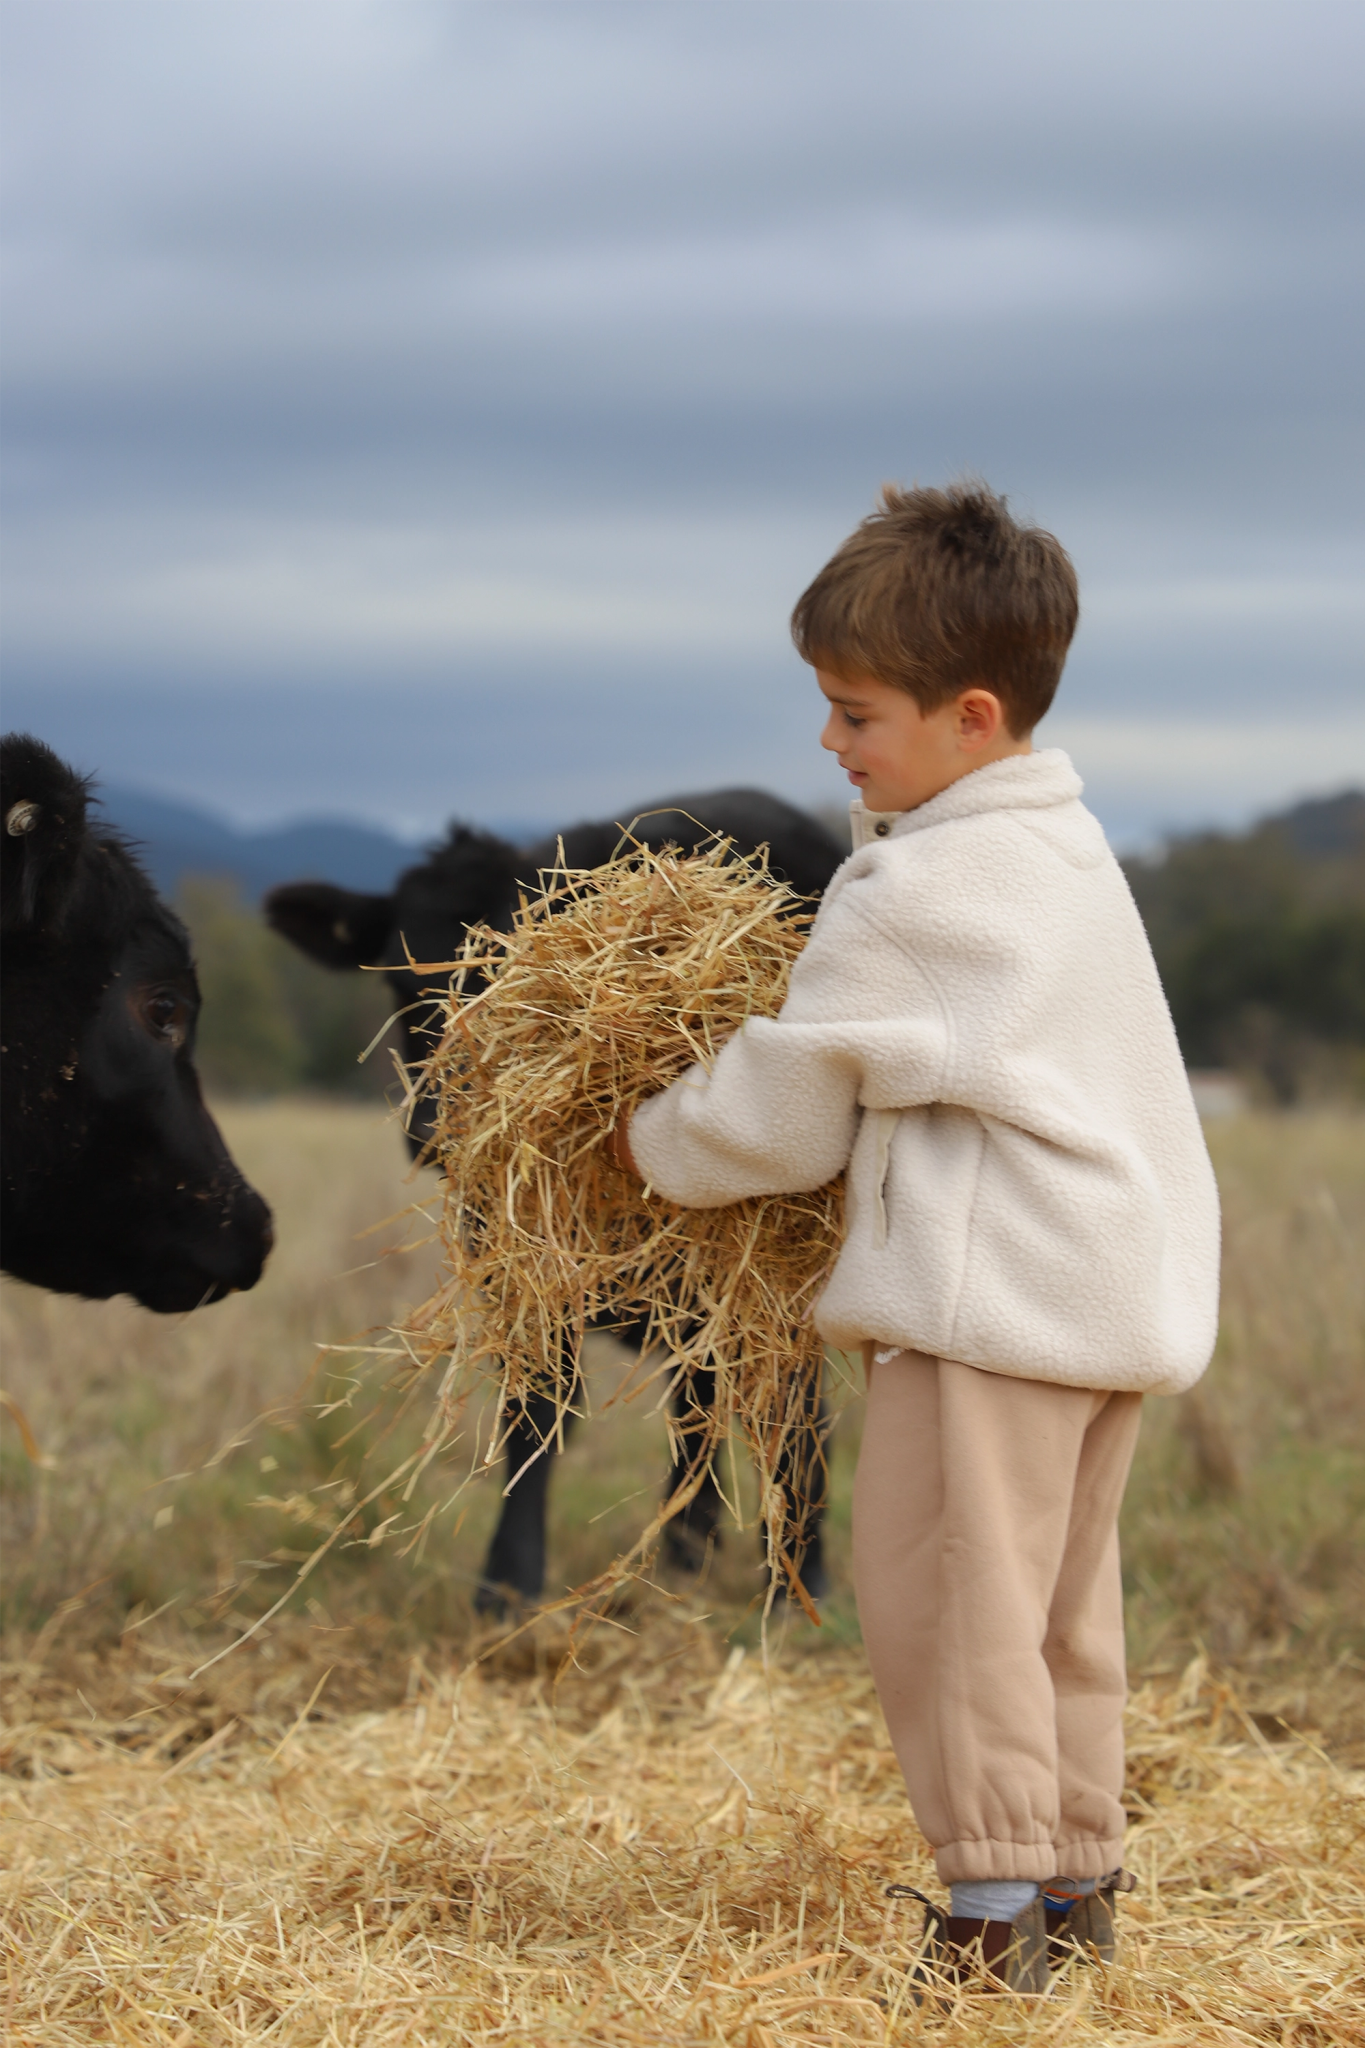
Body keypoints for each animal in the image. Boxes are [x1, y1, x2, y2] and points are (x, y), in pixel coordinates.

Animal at [266, 790, 843, 1605]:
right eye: (402, 989)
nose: (434, 1129)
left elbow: (788, 1412)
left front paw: (799, 1583)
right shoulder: (521, 1265)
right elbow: (535, 1415)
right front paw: (507, 1585)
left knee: (783, 1407)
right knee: (700, 1405)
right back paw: (683, 1554)